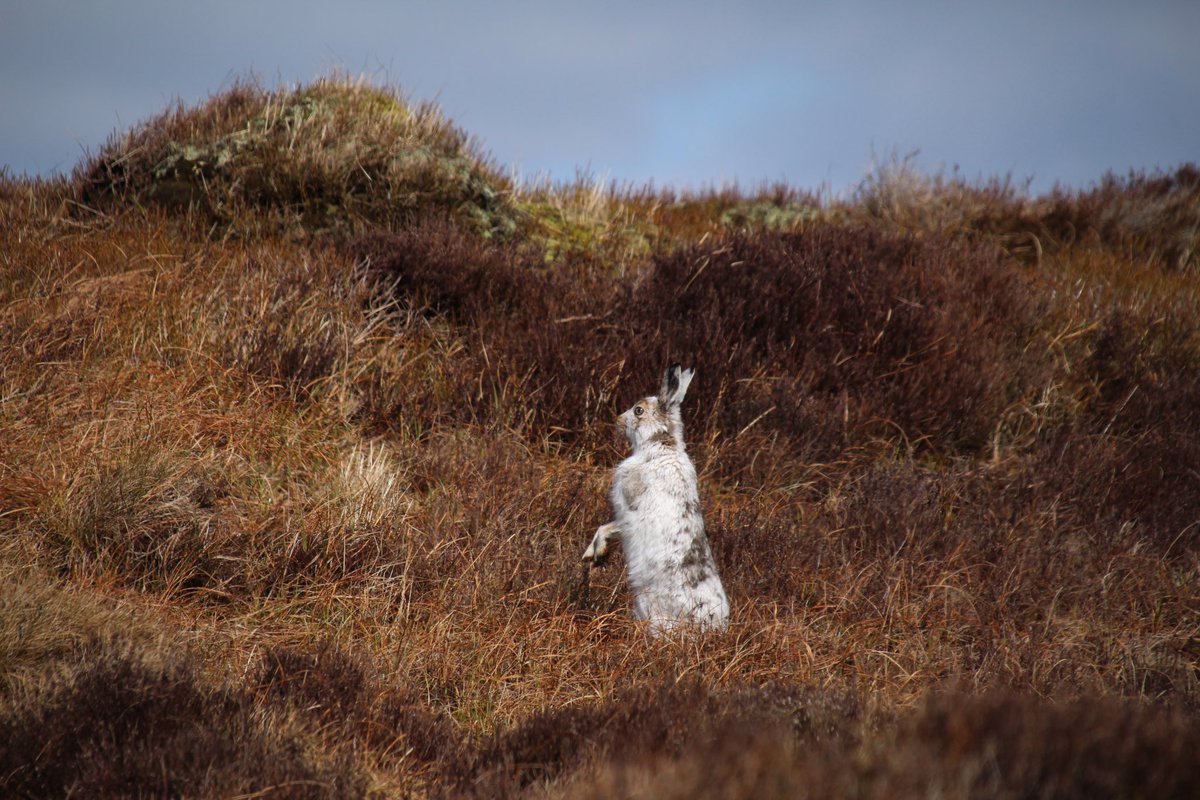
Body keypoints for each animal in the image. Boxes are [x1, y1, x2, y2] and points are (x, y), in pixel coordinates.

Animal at [582, 364, 730, 633]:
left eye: (638, 410)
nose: (618, 420)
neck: (660, 443)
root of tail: (713, 627)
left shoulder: (629, 511)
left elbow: (605, 528)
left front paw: (594, 554)